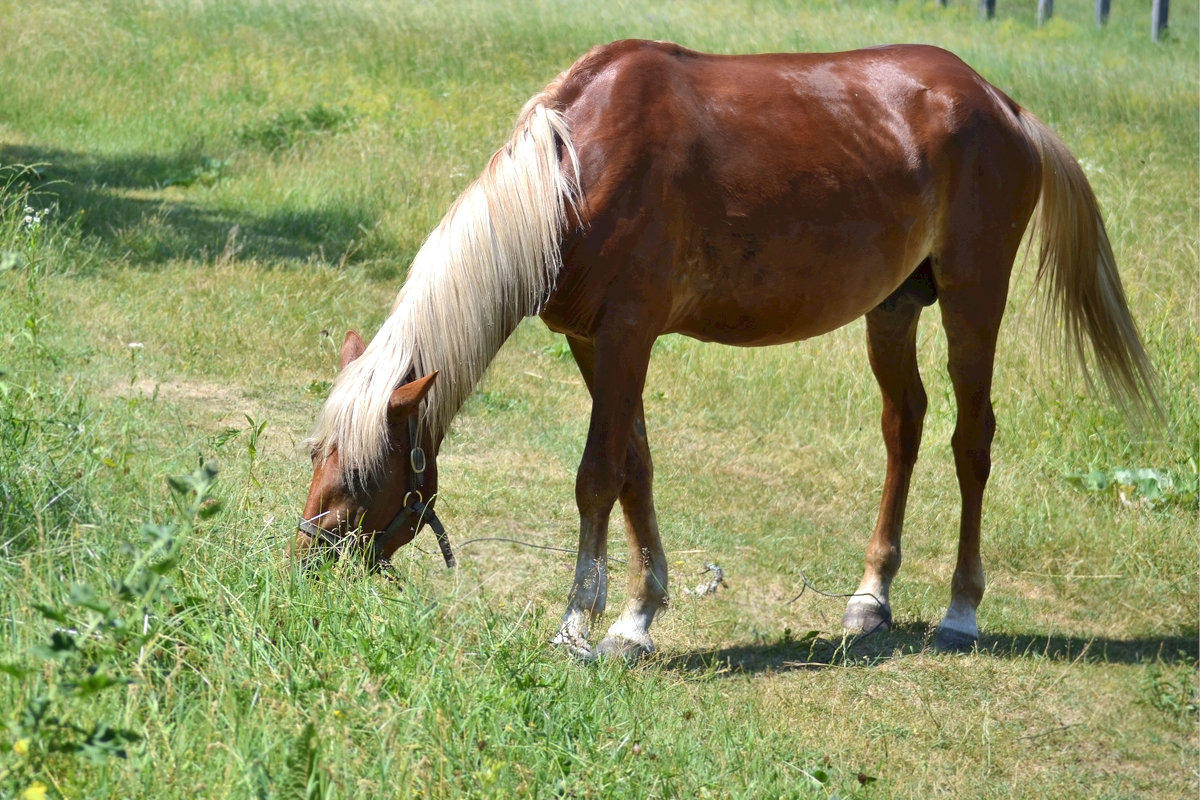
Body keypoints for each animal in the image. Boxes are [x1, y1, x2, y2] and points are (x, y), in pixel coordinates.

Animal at [290, 40, 1152, 662]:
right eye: (316, 454)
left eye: (364, 471)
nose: (306, 565)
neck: (574, 171)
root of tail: (1004, 104)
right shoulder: (592, 342)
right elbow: (635, 468)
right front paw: (638, 618)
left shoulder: (628, 334)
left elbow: (596, 475)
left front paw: (577, 625)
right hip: (894, 307)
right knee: (903, 426)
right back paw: (870, 597)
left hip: (975, 300)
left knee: (971, 440)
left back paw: (962, 609)